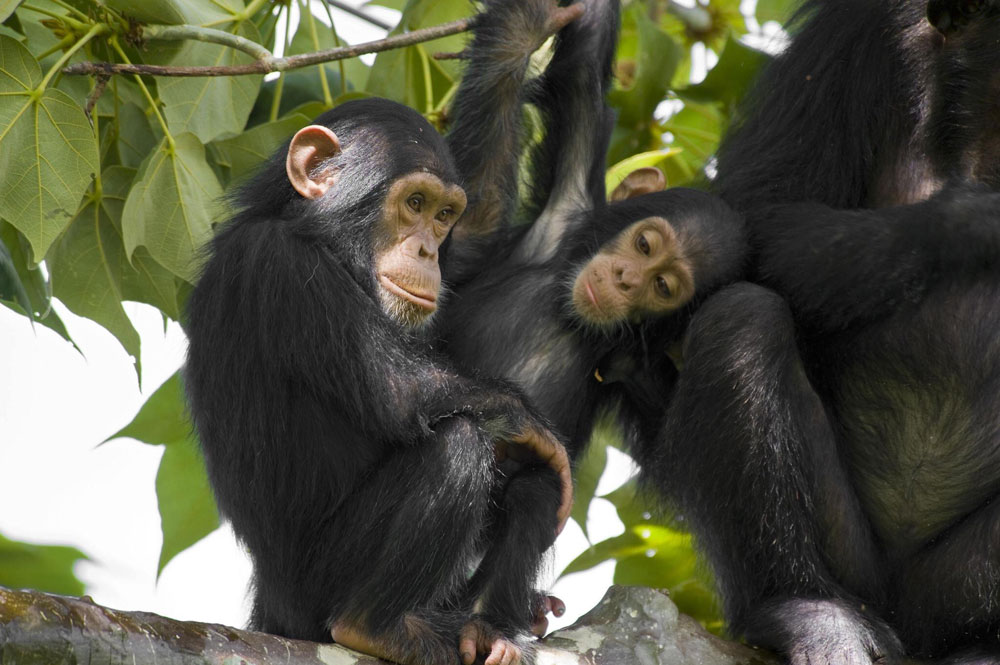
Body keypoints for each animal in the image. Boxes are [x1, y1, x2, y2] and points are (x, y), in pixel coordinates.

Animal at [183, 92, 576, 664]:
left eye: (444, 215)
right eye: (414, 203)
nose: (428, 251)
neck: (320, 239)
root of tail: (269, 607)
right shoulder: (282, 263)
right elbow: (399, 391)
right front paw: (538, 430)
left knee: (529, 487)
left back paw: (493, 629)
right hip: (318, 588)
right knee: (457, 444)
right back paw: (375, 627)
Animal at [438, 0, 744, 462]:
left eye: (662, 286)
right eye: (643, 244)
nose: (625, 279)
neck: (570, 317)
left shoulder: (643, 368)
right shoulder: (568, 200)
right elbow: (583, 67)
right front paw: (531, 25)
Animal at [644, 0, 1000, 660]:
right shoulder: (858, 33)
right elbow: (760, 214)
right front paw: (970, 220)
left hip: (960, 586)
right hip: (856, 562)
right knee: (743, 321)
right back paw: (805, 609)